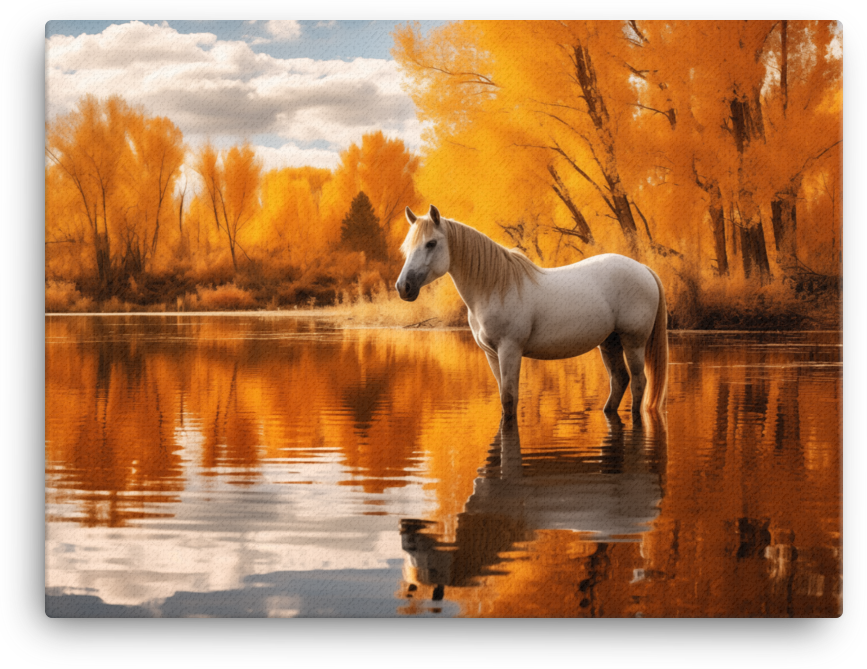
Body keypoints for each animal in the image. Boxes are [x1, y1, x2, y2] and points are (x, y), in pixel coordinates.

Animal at [395, 205, 668, 421]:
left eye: (431, 243)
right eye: (407, 246)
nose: (403, 287)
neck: (494, 288)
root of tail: (643, 268)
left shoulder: (510, 350)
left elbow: (509, 399)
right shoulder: (491, 355)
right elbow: (503, 396)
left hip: (633, 341)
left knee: (639, 382)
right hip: (610, 342)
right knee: (619, 380)